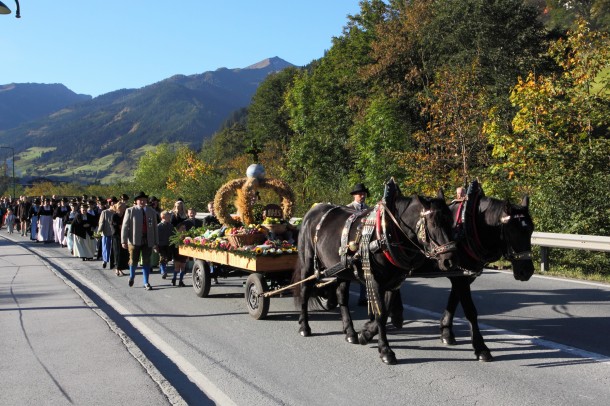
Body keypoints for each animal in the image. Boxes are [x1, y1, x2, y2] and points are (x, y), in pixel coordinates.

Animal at [294, 181, 456, 364]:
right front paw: (385, 350)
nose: (449, 260)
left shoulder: (393, 282)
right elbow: (380, 313)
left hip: (342, 269)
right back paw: (304, 326)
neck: (387, 233)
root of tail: (311, 212)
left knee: (342, 297)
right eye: (433, 224)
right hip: (308, 263)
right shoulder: (375, 280)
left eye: (451, 222)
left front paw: (366, 333)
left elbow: (385, 312)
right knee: (305, 291)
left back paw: (350, 332)